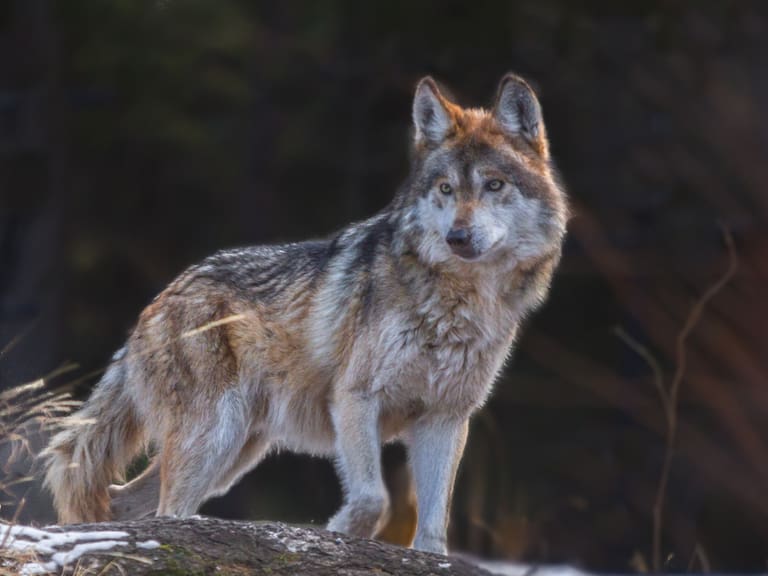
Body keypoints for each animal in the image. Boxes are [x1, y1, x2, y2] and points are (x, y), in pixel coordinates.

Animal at [43, 73, 568, 554]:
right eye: (445, 188)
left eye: (494, 185)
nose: (457, 238)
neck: (458, 303)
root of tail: (156, 302)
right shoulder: (355, 399)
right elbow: (373, 499)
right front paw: (336, 533)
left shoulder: (445, 418)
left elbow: (435, 528)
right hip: (214, 438)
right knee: (165, 507)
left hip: (235, 452)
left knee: (124, 500)